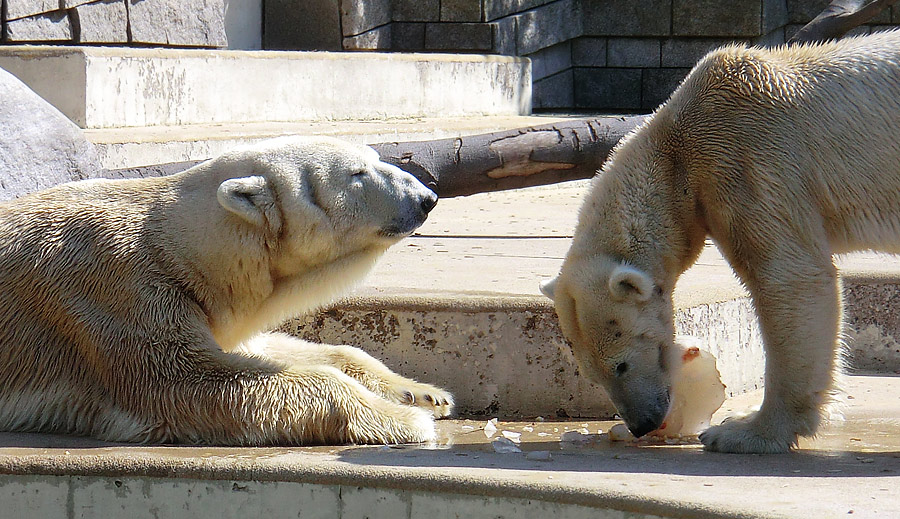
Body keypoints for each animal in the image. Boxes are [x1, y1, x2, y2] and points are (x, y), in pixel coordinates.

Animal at [0, 136, 454, 444]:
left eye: (375, 158)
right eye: (357, 173)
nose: (426, 197)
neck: (181, 249)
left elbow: (271, 349)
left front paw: (424, 395)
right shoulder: (117, 292)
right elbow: (183, 382)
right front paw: (404, 419)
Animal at [540, 31, 900, 456]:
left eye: (621, 364)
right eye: (591, 374)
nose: (643, 424)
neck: (676, 145)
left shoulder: (747, 160)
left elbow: (790, 277)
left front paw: (743, 431)